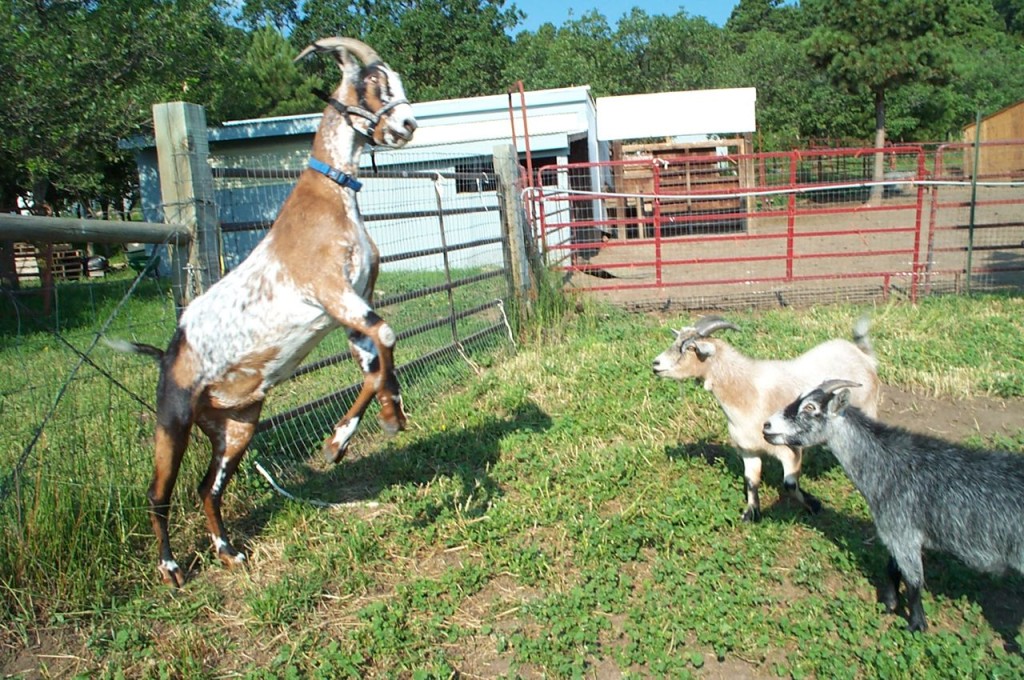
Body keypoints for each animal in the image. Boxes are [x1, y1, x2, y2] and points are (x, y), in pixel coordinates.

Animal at [765, 378, 1024, 630]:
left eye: (810, 408)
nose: (766, 425)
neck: (889, 464)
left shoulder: (902, 530)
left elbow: (914, 581)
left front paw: (916, 625)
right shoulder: (896, 534)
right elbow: (893, 567)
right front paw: (889, 604)